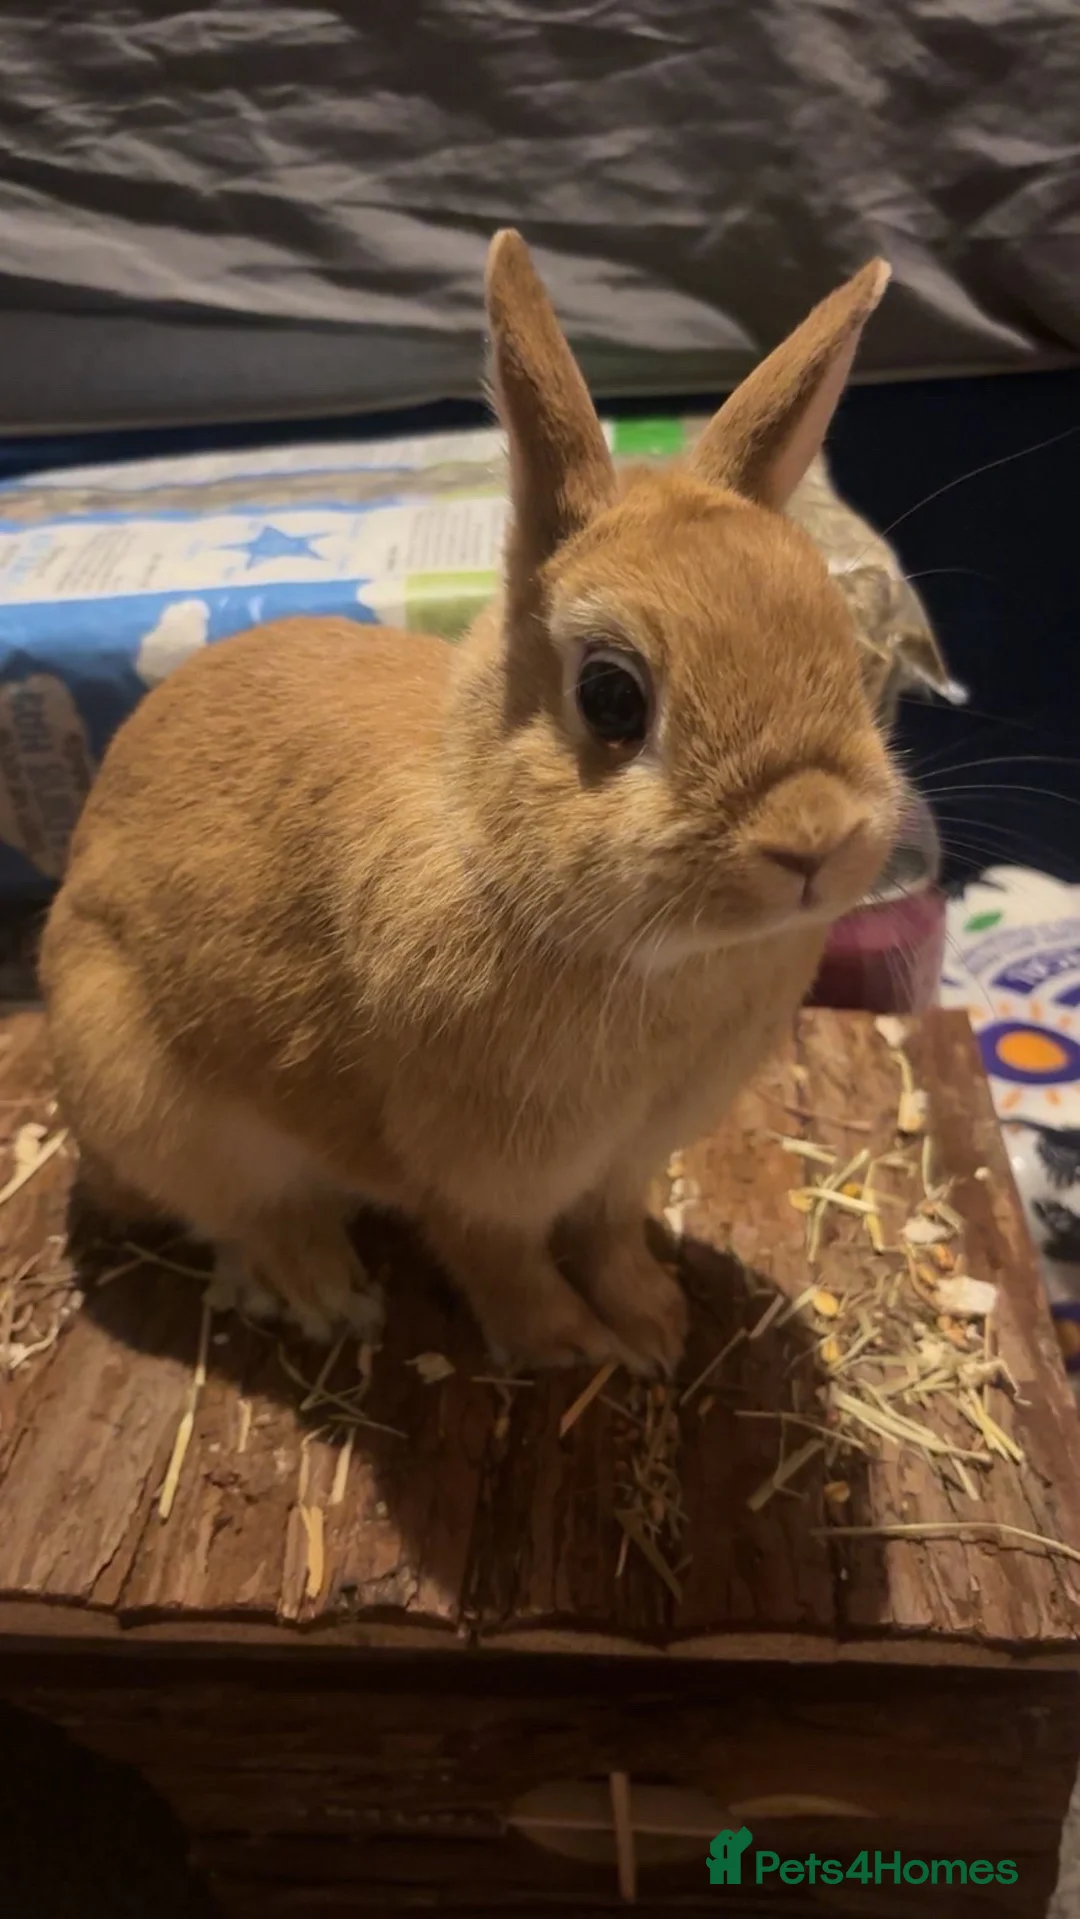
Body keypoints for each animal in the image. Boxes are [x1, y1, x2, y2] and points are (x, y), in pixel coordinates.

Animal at [39, 231, 903, 1375]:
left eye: (846, 653)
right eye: (613, 696)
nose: (814, 835)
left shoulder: (622, 1163)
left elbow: (610, 1233)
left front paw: (656, 1322)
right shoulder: (481, 1171)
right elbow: (498, 1257)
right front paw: (569, 1348)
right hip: (140, 1086)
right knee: (238, 1209)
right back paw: (322, 1286)